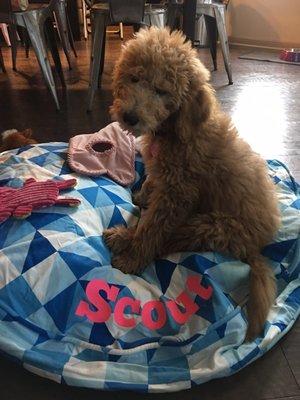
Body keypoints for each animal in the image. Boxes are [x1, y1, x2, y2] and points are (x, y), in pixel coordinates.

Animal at [103, 27, 282, 340]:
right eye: (134, 78)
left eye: (161, 91)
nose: (130, 116)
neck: (174, 130)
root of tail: (256, 248)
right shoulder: (163, 177)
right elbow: (151, 183)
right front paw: (142, 195)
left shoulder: (178, 194)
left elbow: (152, 228)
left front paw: (133, 258)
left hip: (211, 224)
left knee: (171, 239)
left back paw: (126, 238)